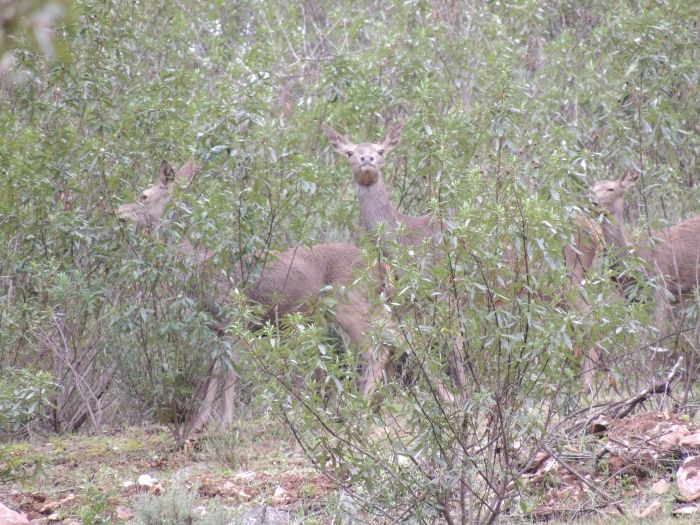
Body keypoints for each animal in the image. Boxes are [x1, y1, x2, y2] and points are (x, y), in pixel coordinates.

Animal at [117, 159, 394, 434]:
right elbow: (216, 371)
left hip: (349, 303)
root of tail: (382, 267)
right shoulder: (217, 325)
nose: (118, 212)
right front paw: (199, 424)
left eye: (144, 196)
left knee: (376, 350)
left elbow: (230, 370)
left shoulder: (235, 314)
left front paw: (224, 424)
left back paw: (359, 411)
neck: (201, 264)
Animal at [323, 123, 605, 391]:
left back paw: (586, 387)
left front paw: (464, 389)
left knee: (591, 316)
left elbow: (453, 340)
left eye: (381, 151)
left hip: (565, 274)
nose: (367, 159)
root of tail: (594, 230)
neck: (409, 239)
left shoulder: (446, 286)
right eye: (350, 152)